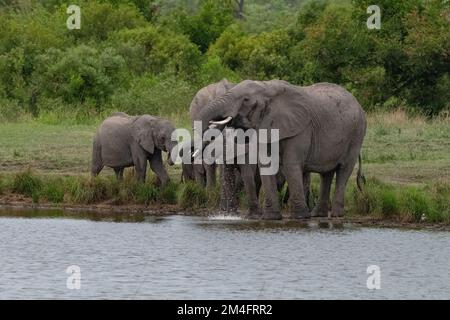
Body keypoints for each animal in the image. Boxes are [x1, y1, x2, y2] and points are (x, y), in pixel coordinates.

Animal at [197, 80, 366, 220]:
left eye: (246, 100)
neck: (267, 87)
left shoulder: (300, 129)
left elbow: (291, 166)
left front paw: (299, 217)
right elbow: (266, 166)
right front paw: (271, 217)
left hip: (357, 133)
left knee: (343, 170)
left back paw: (336, 215)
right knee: (326, 174)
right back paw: (318, 215)